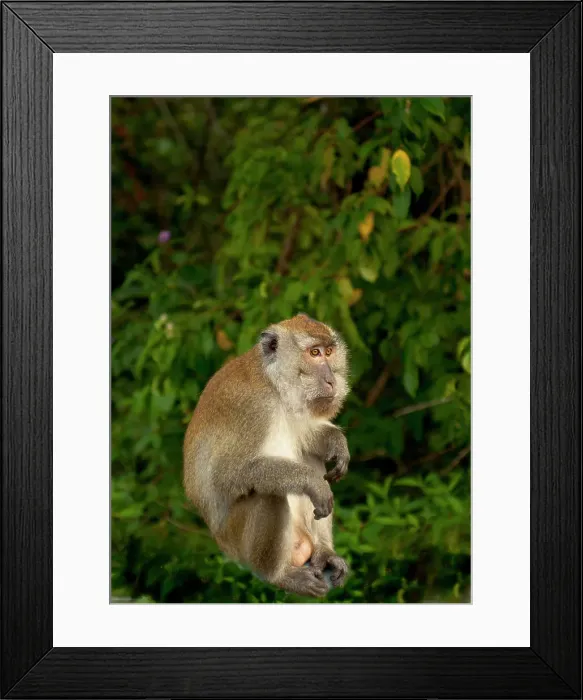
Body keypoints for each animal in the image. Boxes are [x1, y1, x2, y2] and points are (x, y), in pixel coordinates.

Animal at [183, 313, 351, 598]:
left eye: (329, 352)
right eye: (314, 353)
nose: (332, 381)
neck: (274, 385)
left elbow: (307, 437)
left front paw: (337, 443)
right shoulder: (251, 408)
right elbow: (226, 476)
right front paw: (312, 482)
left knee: (309, 458)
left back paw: (323, 552)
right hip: (237, 543)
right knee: (269, 494)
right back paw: (280, 577)